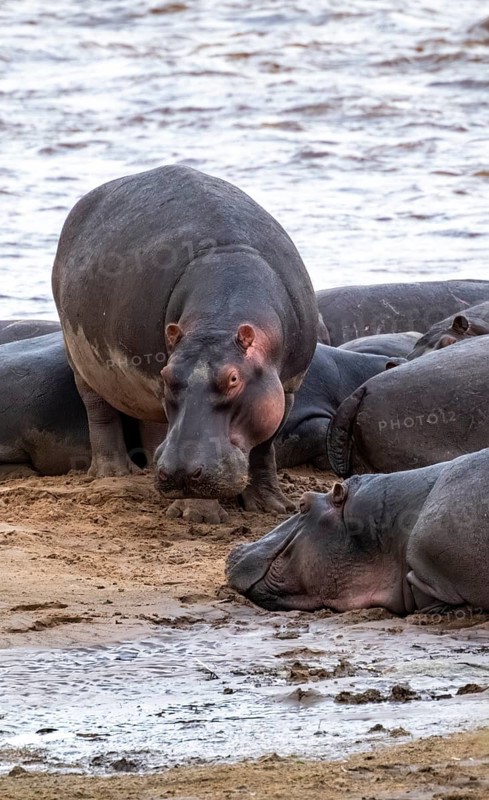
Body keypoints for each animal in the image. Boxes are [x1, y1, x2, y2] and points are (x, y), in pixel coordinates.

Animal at [52, 165, 318, 521]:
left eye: (233, 379)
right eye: (167, 375)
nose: (178, 474)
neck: (218, 320)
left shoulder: (286, 388)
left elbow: (265, 447)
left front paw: (270, 506)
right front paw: (198, 517)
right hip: (80, 360)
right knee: (99, 411)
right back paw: (113, 474)